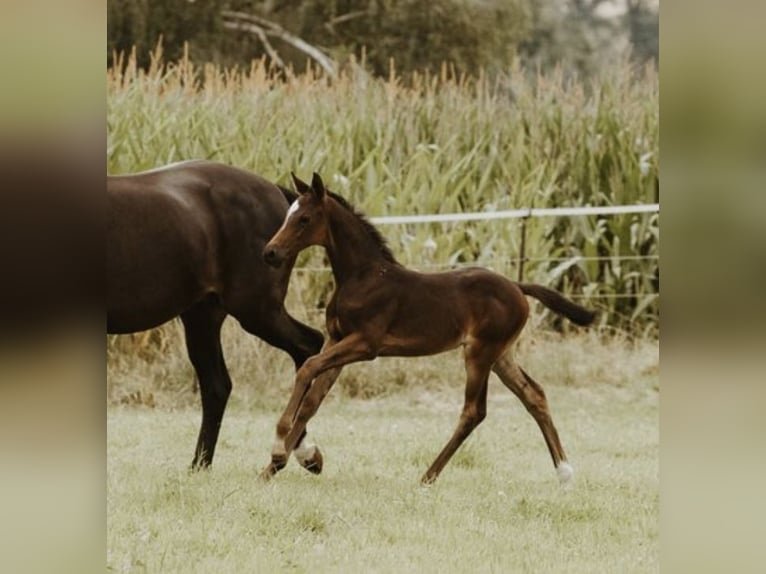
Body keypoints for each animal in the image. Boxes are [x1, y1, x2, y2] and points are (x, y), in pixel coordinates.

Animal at [260, 172, 596, 486]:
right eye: (289, 214)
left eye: (304, 218)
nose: (270, 252)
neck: (363, 277)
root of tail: (517, 286)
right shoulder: (337, 339)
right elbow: (313, 398)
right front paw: (277, 466)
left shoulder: (366, 344)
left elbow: (308, 367)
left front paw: (278, 450)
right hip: (502, 355)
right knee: (534, 395)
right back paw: (564, 472)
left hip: (480, 353)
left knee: (474, 411)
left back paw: (428, 476)